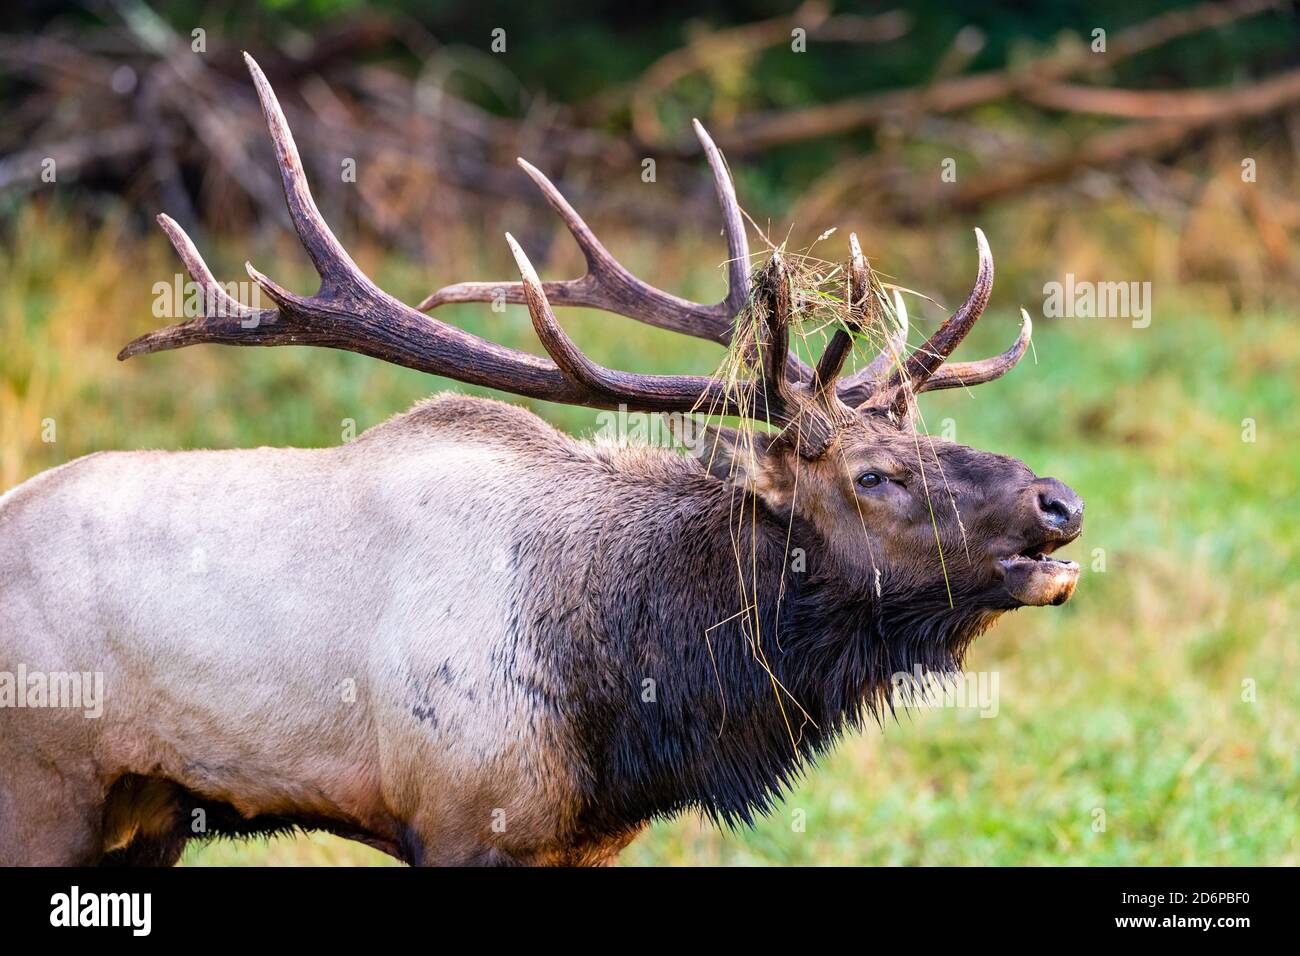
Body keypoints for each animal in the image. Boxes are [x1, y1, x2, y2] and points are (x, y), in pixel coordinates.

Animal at [0, 55, 1082, 867]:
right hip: (46, 785)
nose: (1058, 501)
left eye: (922, 439)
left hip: (146, 810)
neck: (631, 693)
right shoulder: (457, 816)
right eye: (872, 477)